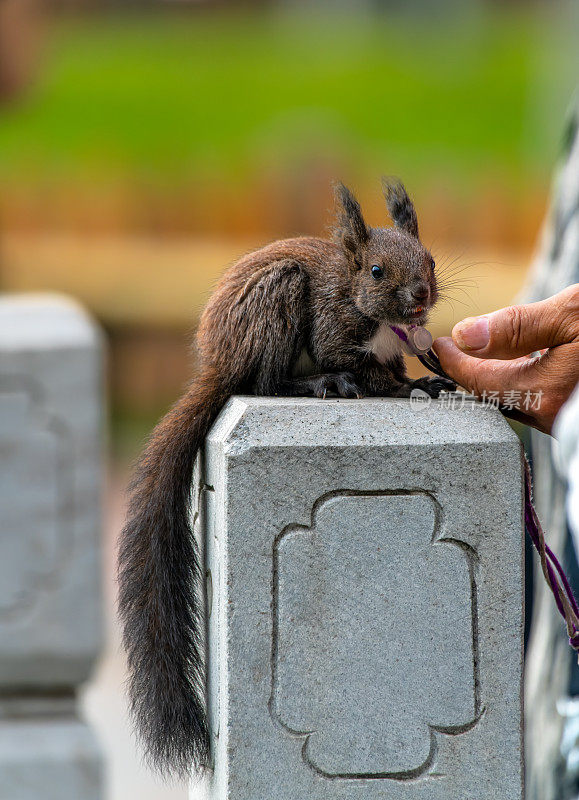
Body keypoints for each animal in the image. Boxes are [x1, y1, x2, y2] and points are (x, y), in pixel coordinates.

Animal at [115, 178, 456, 780]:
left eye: (431, 260)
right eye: (375, 271)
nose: (420, 297)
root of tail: (218, 361)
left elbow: (395, 364)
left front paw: (424, 378)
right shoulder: (332, 329)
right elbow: (365, 369)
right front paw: (411, 387)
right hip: (277, 300)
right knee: (266, 380)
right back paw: (320, 384)